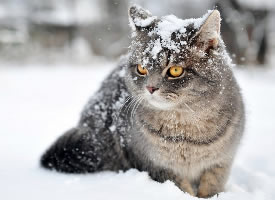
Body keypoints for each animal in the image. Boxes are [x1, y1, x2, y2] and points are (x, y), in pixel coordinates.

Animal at [40, 5, 245, 198]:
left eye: (175, 70)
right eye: (141, 68)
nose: (151, 88)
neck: (185, 130)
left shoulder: (221, 163)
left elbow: (212, 186)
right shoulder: (156, 165)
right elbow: (181, 188)